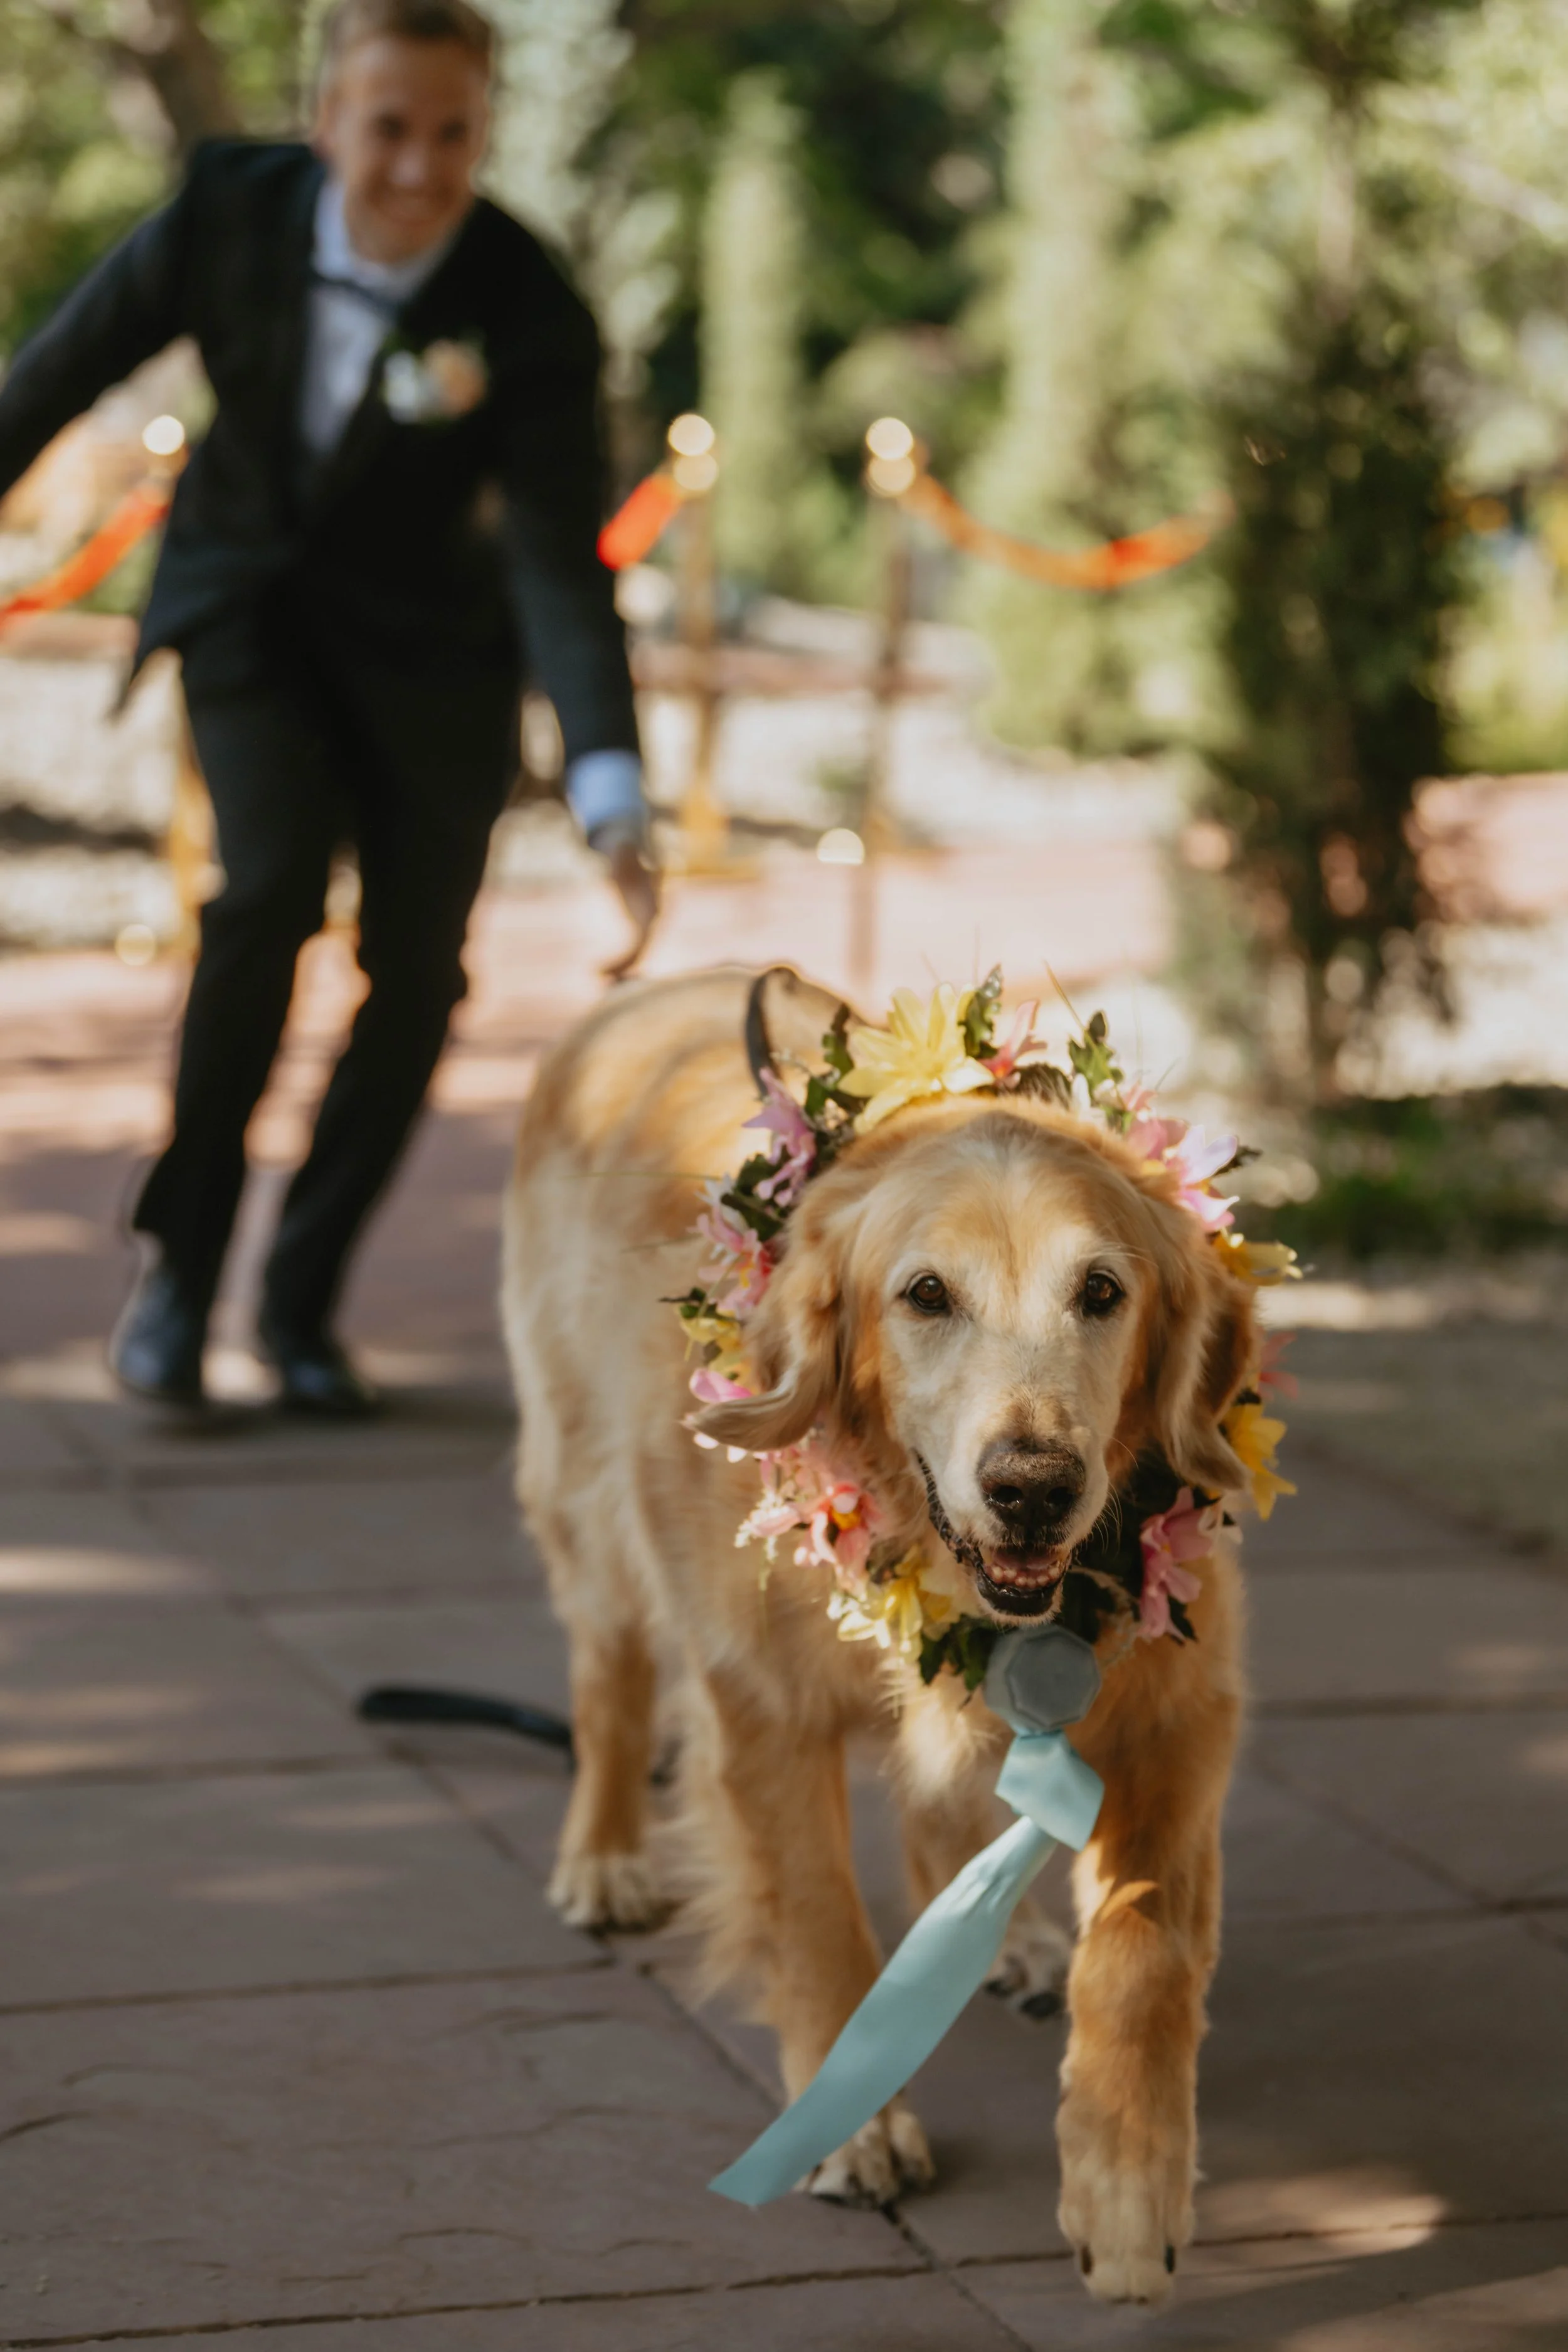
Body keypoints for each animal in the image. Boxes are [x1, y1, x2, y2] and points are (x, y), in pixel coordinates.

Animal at [502, 966, 1256, 2306]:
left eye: (1102, 1293)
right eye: (925, 1295)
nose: (1032, 1488)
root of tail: (644, 992)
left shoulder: (1181, 1706)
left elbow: (1145, 1950)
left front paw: (1127, 2192)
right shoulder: (758, 1700)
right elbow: (814, 1918)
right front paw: (850, 2129)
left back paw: (1016, 1941)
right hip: (585, 1493)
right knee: (609, 1677)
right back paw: (604, 1857)